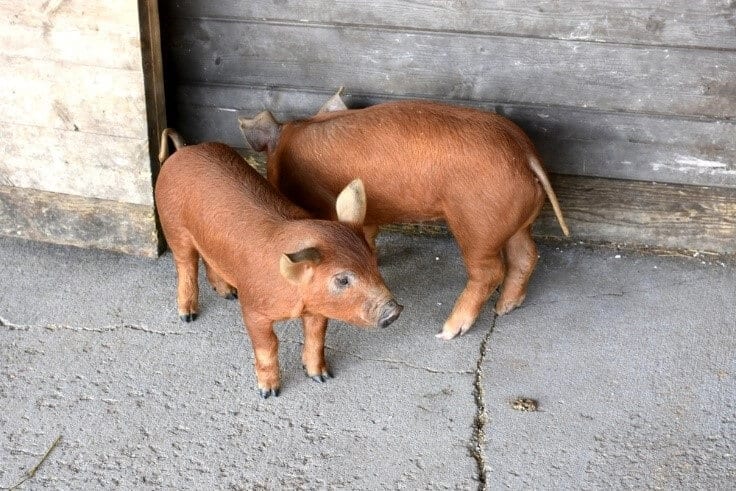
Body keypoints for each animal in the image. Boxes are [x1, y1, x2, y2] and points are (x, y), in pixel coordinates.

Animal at [155, 128, 402, 397]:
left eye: (373, 264)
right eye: (342, 279)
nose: (394, 310)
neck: (294, 299)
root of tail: (183, 151)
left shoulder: (317, 308)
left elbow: (317, 337)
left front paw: (322, 377)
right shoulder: (253, 308)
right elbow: (268, 345)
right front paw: (269, 392)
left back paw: (228, 294)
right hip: (174, 228)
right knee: (186, 266)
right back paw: (188, 316)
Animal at [238, 95, 570, 341]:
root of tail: (526, 154)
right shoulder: (367, 213)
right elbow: (368, 235)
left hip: (476, 225)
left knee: (489, 272)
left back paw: (448, 331)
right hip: (513, 222)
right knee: (527, 254)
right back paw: (506, 308)